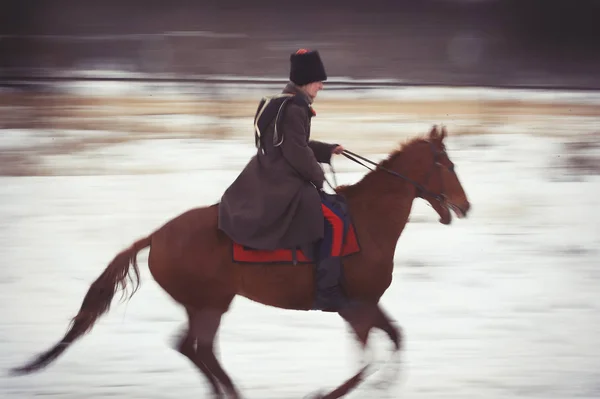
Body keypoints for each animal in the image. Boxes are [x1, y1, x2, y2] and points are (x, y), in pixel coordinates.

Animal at [8, 126, 468, 399]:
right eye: (446, 164)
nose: (464, 207)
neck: (367, 222)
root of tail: (156, 235)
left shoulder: (367, 304)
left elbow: (396, 338)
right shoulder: (355, 309)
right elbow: (367, 362)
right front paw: (326, 393)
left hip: (203, 304)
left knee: (190, 347)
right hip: (212, 304)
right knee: (199, 349)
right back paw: (232, 391)